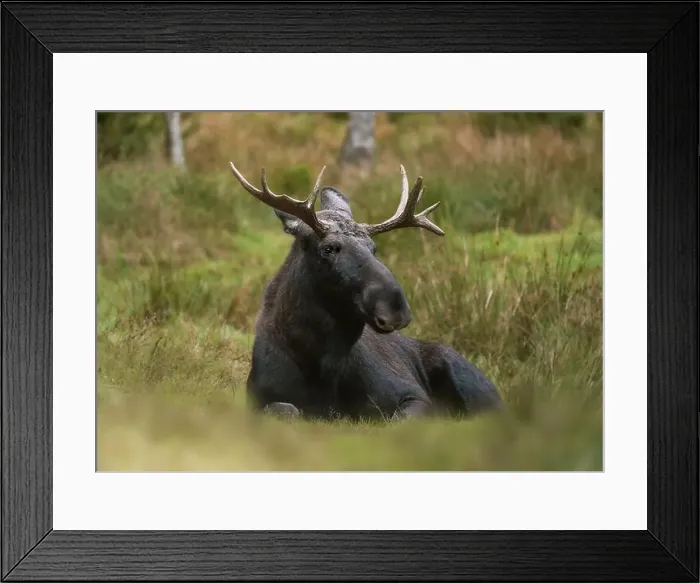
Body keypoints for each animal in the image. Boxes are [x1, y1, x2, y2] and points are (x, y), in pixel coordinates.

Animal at [229, 161, 504, 421]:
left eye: (373, 247)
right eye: (328, 248)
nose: (395, 307)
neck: (319, 366)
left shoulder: (412, 395)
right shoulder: (258, 400)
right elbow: (286, 409)